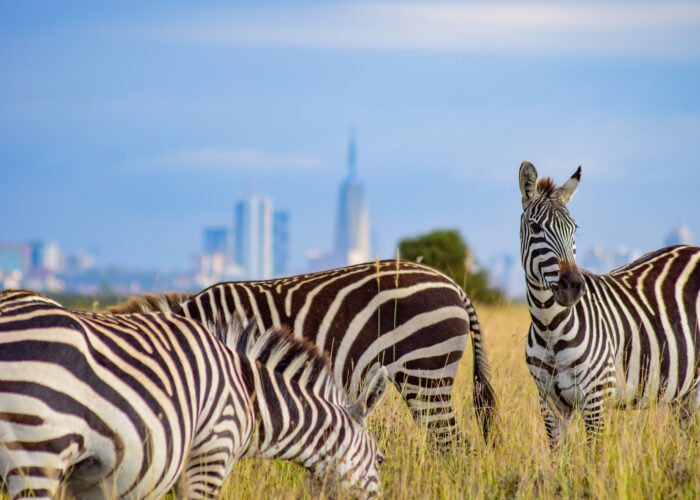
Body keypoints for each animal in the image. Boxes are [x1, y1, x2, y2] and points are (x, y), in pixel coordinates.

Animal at [516, 162, 696, 448]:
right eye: (535, 228)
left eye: (574, 229)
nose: (572, 287)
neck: (549, 327)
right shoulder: (550, 404)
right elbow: (559, 457)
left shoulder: (595, 399)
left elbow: (594, 455)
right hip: (683, 391)